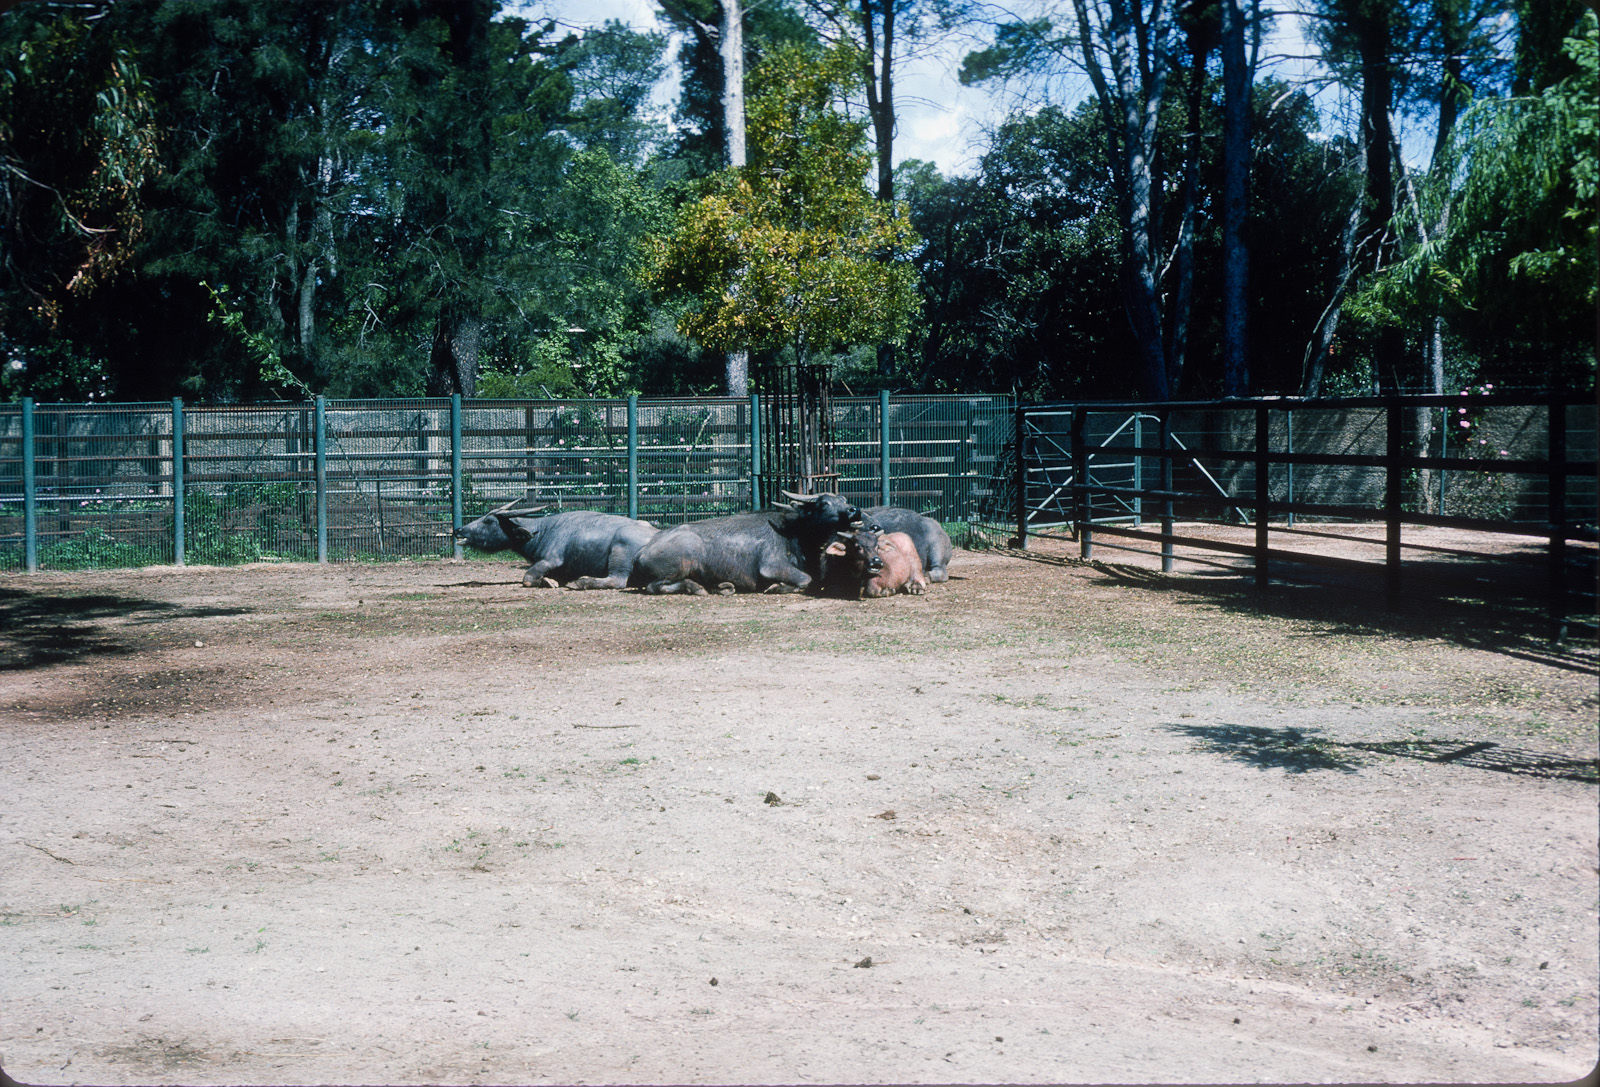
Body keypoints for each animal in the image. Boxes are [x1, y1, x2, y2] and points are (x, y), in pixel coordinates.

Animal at [454, 507, 658, 589]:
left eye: (488, 521)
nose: (458, 530)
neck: (543, 530)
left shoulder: (550, 560)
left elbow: (527, 578)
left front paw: (548, 582)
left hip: (619, 554)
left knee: (617, 580)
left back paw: (580, 583)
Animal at [632, 492, 862, 595]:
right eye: (824, 504)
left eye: (843, 499)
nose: (854, 510)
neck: (796, 534)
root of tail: (643, 550)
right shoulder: (772, 566)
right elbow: (806, 580)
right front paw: (776, 587)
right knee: (654, 586)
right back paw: (697, 587)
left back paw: (721, 586)